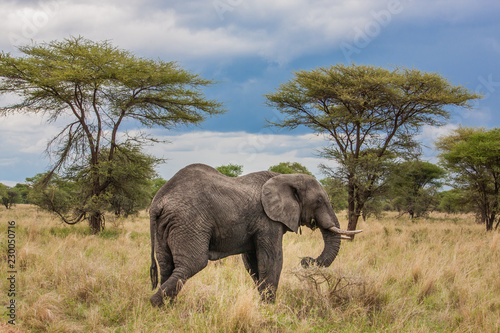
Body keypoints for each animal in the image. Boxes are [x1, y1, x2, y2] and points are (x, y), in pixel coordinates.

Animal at [147, 162, 360, 304]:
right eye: (319, 201)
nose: (306, 261)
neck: (285, 176)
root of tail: (158, 200)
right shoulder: (267, 220)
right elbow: (272, 259)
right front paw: (270, 306)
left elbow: (253, 263)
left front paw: (263, 302)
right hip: (189, 221)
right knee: (192, 263)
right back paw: (155, 303)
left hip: (166, 225)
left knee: (167, 265)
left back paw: (169, 307)